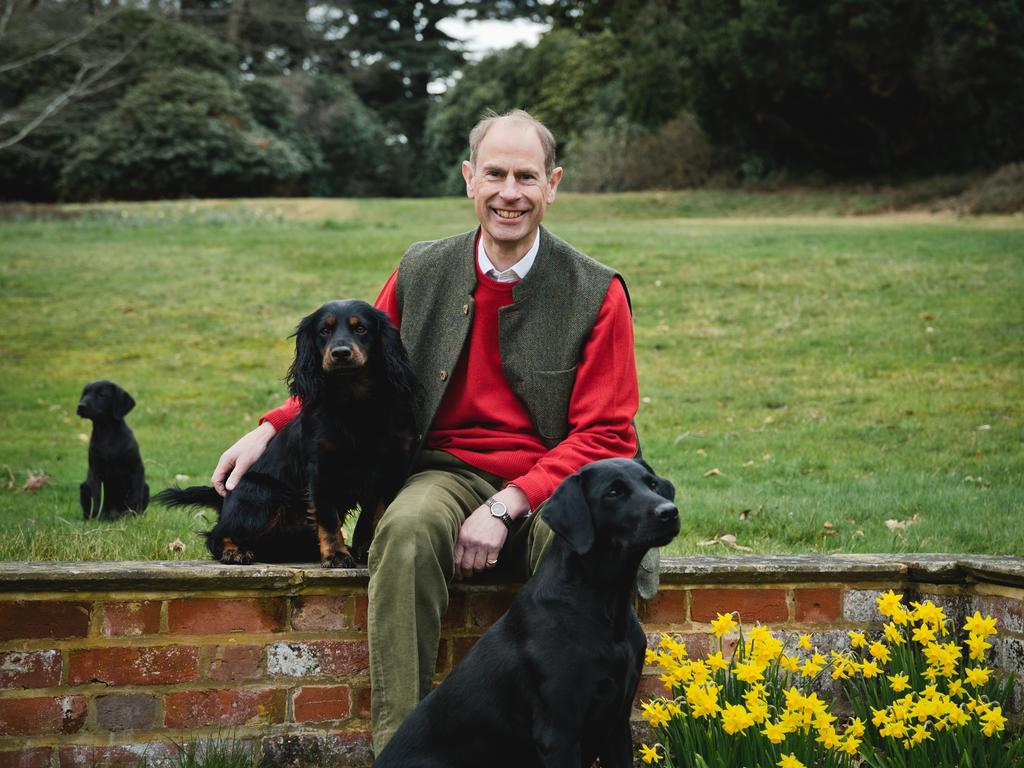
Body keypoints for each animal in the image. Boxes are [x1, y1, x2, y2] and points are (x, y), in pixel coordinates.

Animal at [78, 380, 149, 524]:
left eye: (102, 395)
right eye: (84, 394)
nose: (80, 406)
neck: (107, 432)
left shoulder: (136, 468)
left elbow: (134, 497)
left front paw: (131, 516)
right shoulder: (95, 472)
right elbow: (97, 498)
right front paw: (98, 518)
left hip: (146, 487)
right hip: (83, 487)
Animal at [376, 456, 679, 768]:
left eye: (652, 484)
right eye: (614, 492)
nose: (669, 512)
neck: (606, 604)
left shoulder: (617, 724)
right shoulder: (559, 733)